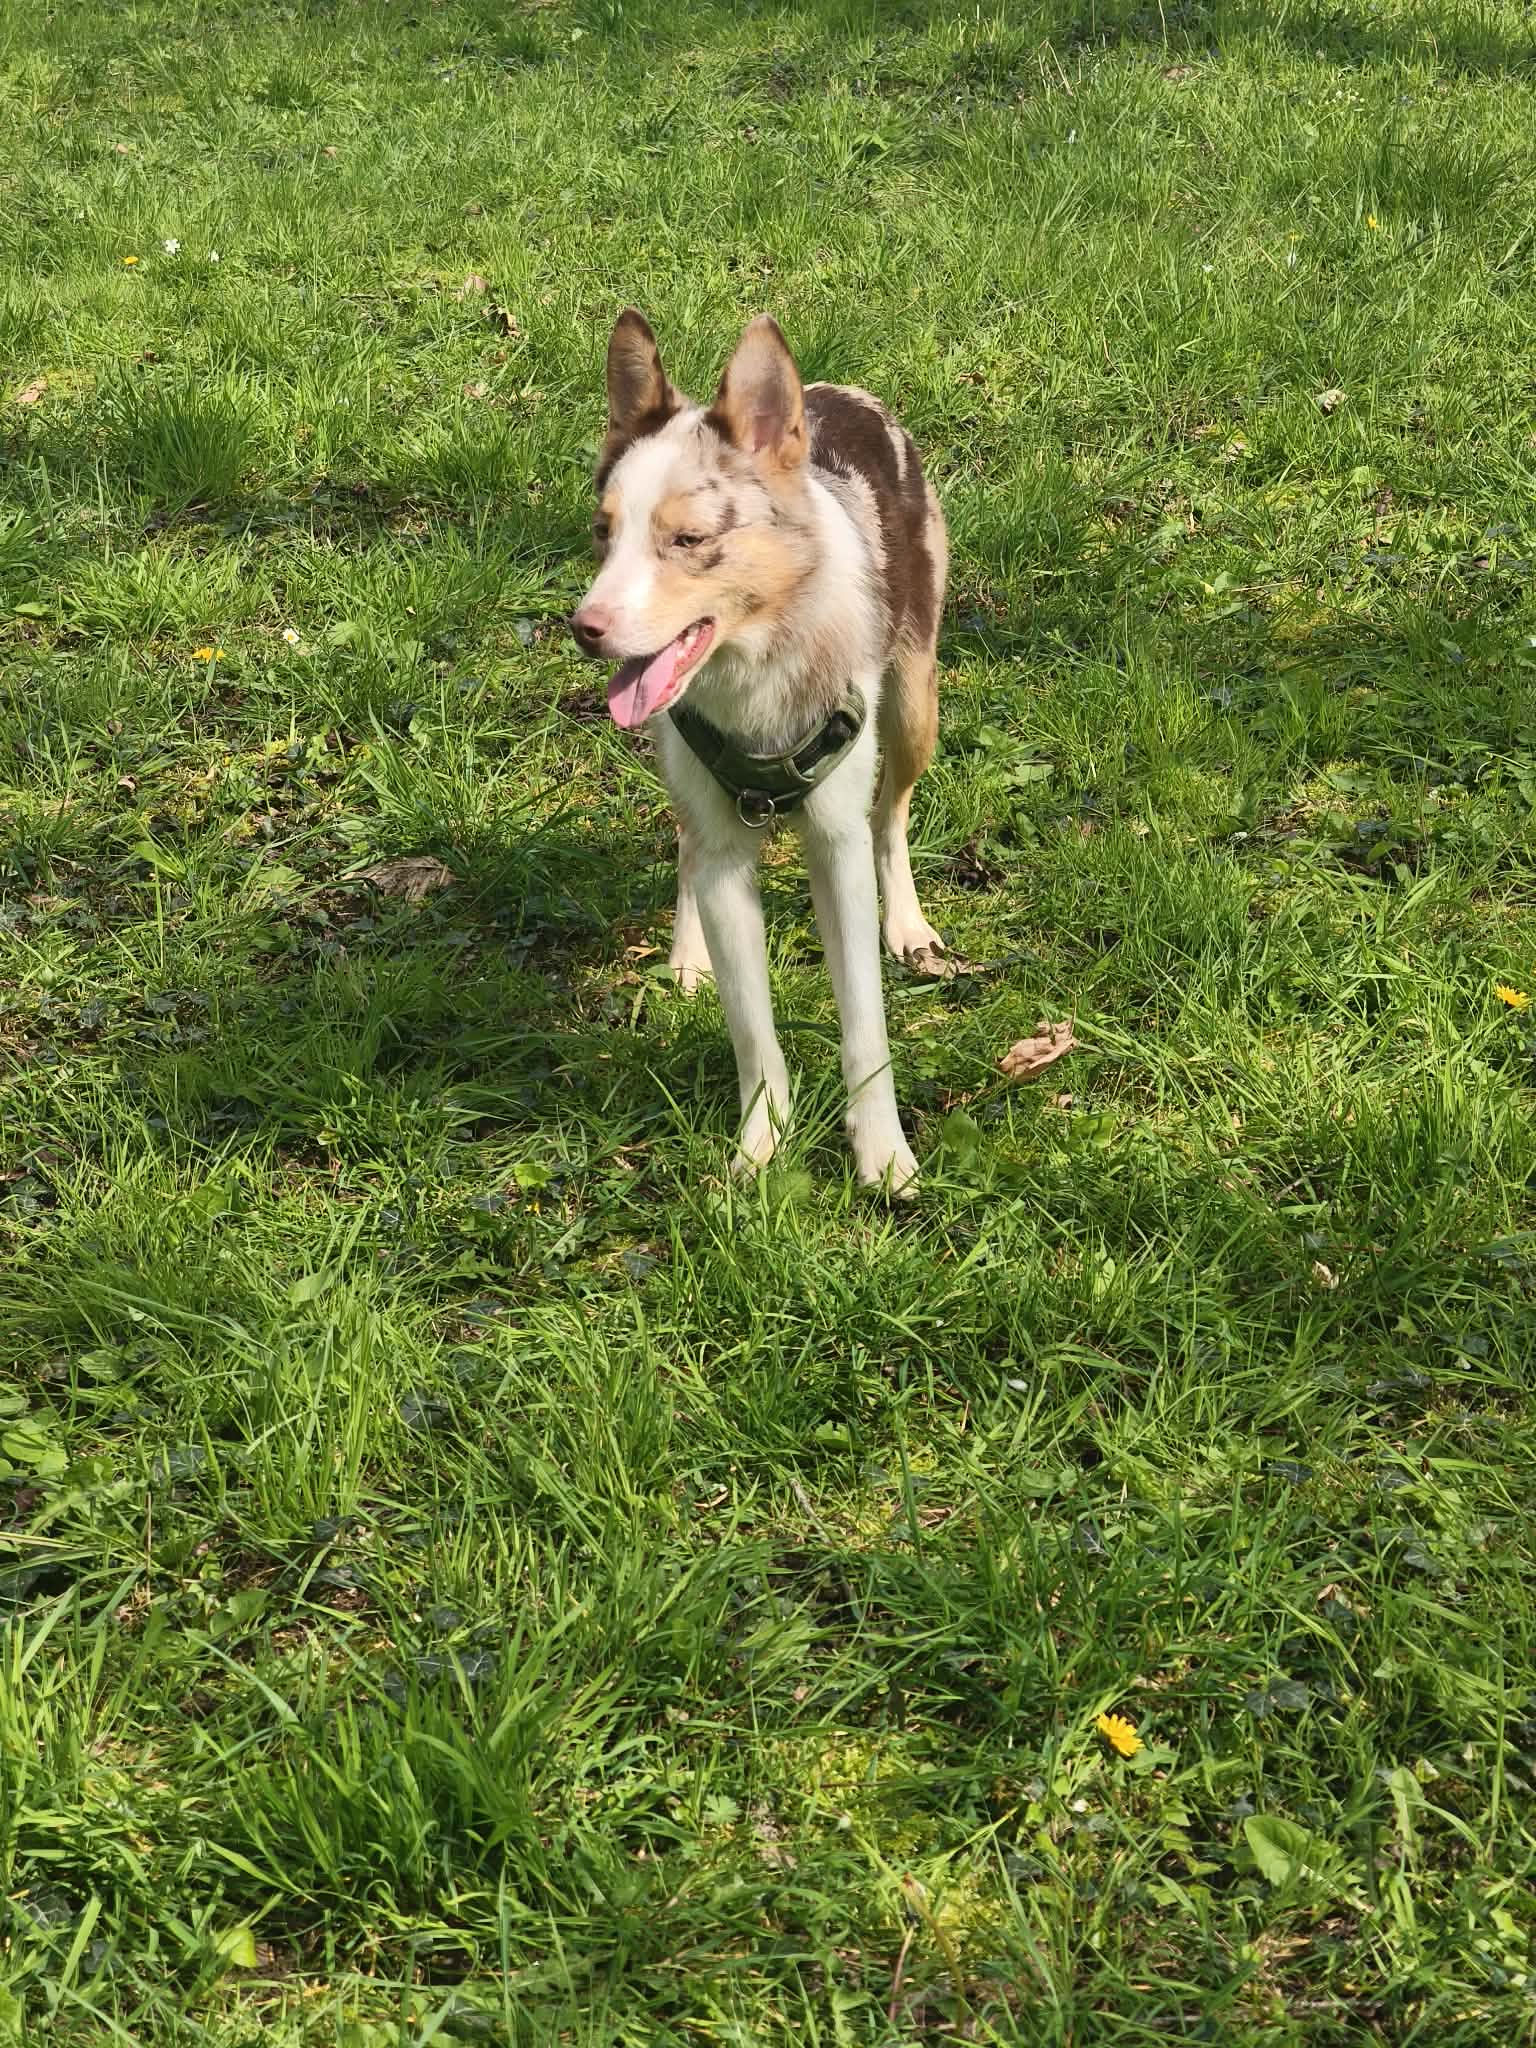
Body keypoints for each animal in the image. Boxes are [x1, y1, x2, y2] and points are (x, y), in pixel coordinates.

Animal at [571, 310, 948, 1192]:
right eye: (603, 533)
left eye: (687, 539)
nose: (584, 627)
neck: (758, 663)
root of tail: (839, 391)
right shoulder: (722, 848)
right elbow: (751, 1029)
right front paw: (760, 1146)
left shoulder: (836, 850)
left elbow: (864, 1023)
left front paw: (882, 1152)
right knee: (685, 844)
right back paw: (687, 953)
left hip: (914, 704)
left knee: (893, 815)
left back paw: (908, 922)